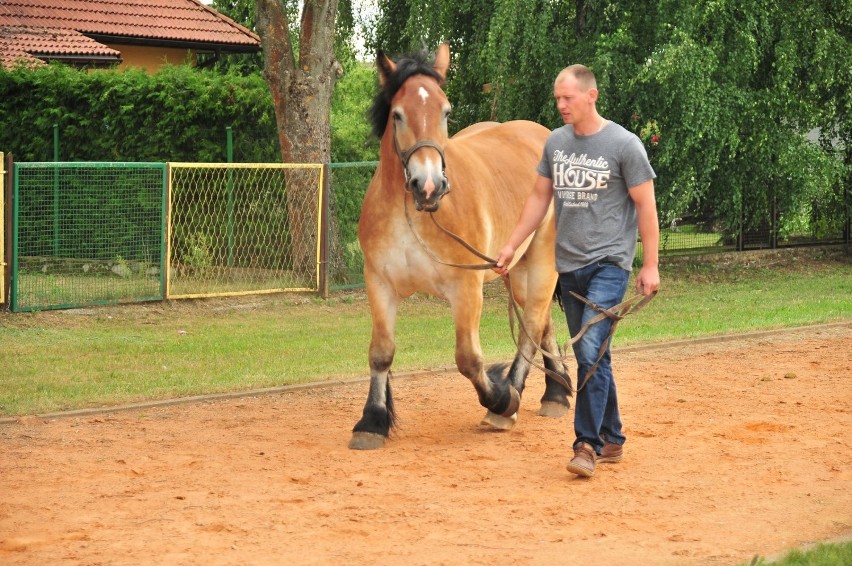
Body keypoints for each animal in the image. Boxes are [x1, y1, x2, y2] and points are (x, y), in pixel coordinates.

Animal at [350, 44, 576, 450]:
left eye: (446, 110)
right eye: (397, 114)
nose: (428, 186)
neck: (411, 214)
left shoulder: (466, 289)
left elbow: (469, 359)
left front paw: (502, 399)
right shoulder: (379, 283)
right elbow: (381, 353)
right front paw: (372, 421)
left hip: (540, 262)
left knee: (533, 324)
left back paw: (513, 398)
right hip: (517, 270)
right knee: (540, 322)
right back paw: (555, 393)